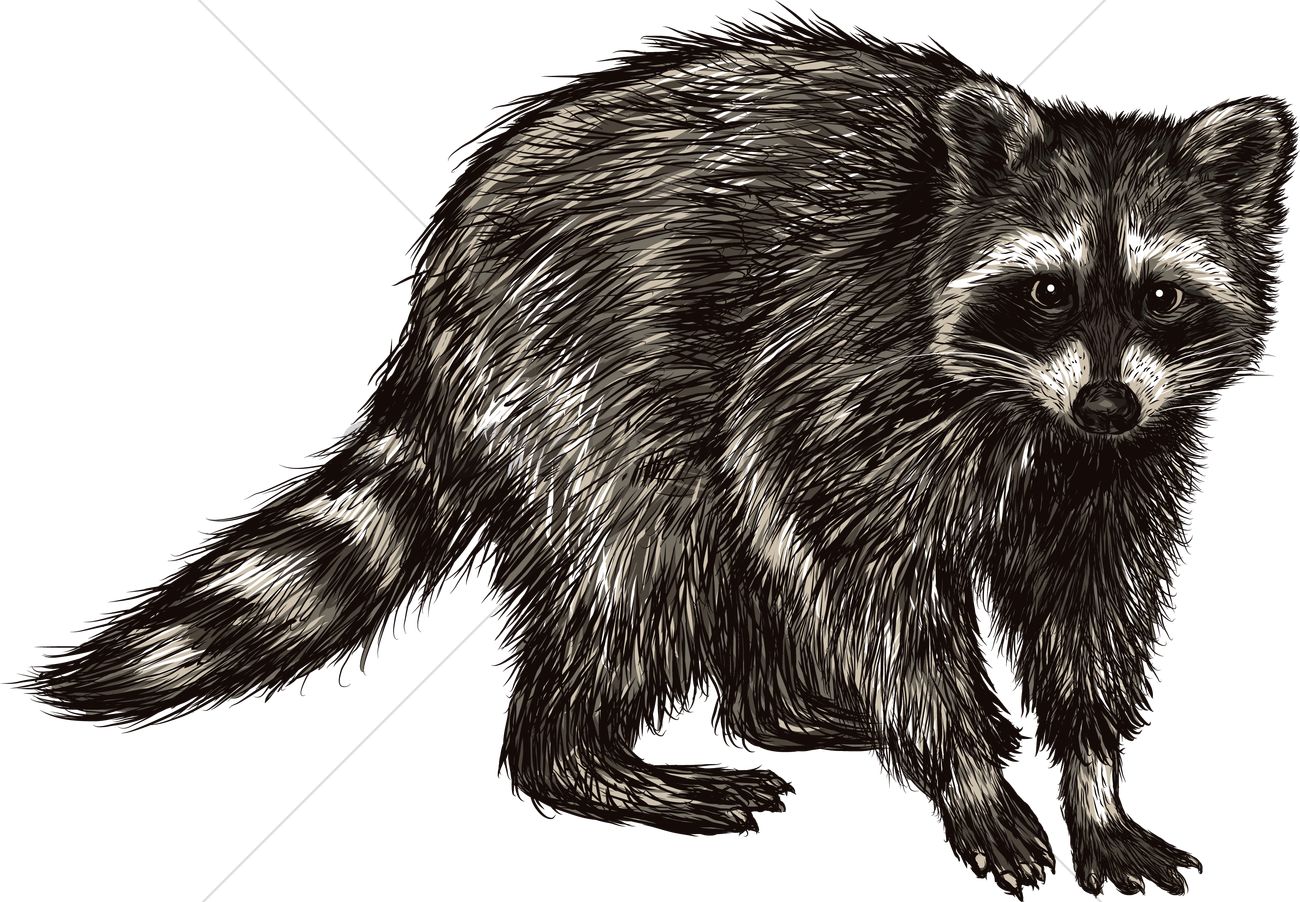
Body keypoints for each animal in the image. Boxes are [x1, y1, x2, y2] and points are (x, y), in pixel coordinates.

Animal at [26, 13, 1294, 898]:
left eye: (1162, 295)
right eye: (1044, 289)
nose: (1105, 399)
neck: (1034, 411)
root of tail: (438, 294)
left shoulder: (1123, 460)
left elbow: (1090, 601)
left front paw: (1093, 770)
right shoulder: (848, 360)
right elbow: (851, 553)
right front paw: (965, 757)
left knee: (734, 541)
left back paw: (779, 701)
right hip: (581, 367)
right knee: (653, 553)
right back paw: (580, 750)